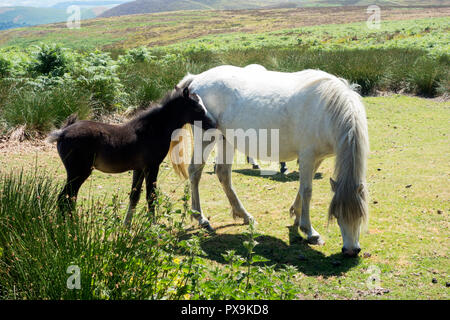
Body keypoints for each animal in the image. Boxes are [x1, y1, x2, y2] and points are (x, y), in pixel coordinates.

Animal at [48, 87, 217, 226]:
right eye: (197, 108)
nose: (213, 125)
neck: (152, 130)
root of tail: (62, 132)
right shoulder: (152, 167)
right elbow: (151, 196)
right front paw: (153, 226)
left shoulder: (139, 169)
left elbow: (135, 196)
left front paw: (126, 225)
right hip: (78, 172)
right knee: (65, 198)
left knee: (69, 197)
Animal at [174, 65, 368, 258]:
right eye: (337, 215)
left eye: (361, 215)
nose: (351, 250)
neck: (327, 109)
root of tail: (196, 79)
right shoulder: (307, 156)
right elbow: (307, 191)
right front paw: (310, 232)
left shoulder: (316, 159)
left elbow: (303, 187)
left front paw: (296, 215)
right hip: (205, 138)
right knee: (195, 172)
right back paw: (201, 218)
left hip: (225, 140)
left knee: (223, 174)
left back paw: (245, 216)